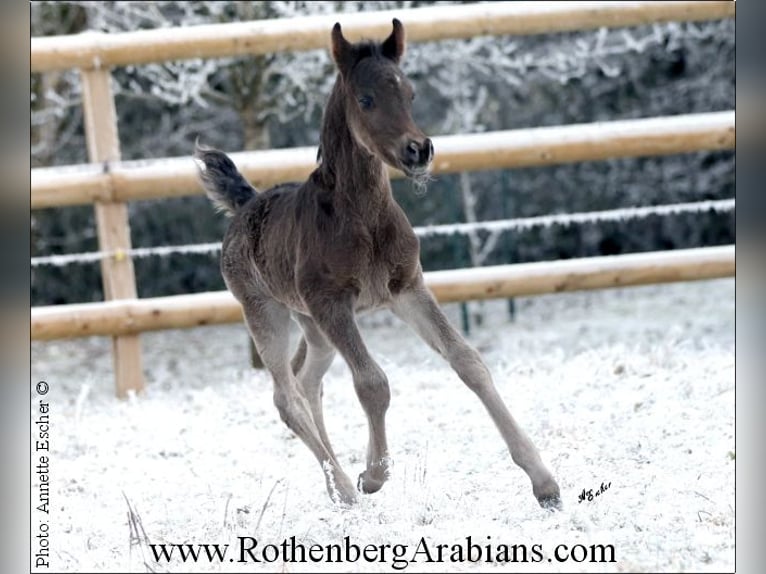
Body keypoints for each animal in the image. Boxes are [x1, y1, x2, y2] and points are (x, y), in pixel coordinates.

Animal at [195, 20, 560, 510]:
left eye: (410, 93)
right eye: (365, 99)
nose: (418, 150)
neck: (363, 217)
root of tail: (246, 205)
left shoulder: (406, 289)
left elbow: (468, 361)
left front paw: (543, 481)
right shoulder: (333, 304)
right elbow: (372, 383)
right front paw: (373, 474)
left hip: (310, 323)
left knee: (307, 380)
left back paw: (335, 486)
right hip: (265, 311)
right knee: (286, 397)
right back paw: (347, 489)